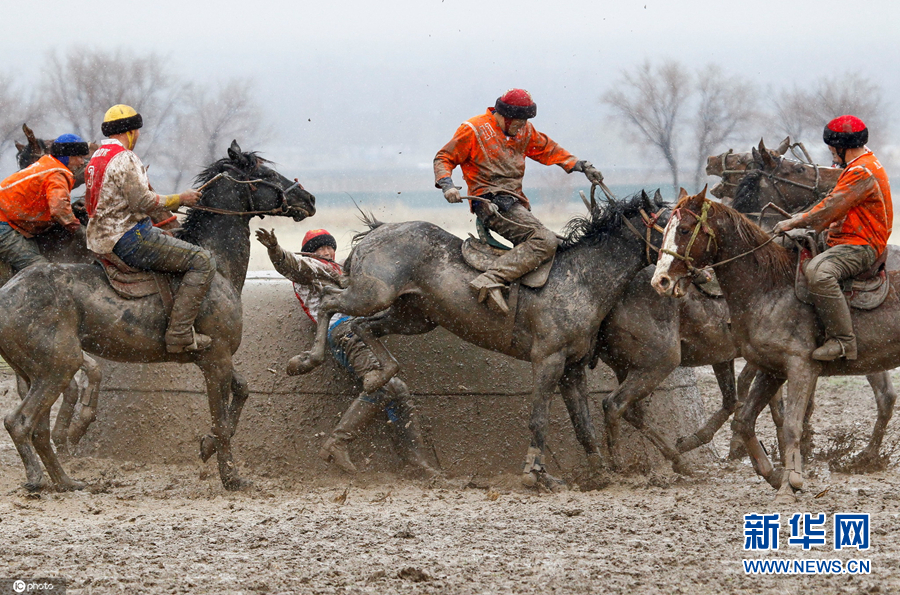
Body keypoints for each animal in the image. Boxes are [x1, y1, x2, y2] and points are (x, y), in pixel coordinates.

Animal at [0, 141, 316, 494]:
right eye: (265, 173)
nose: (310, 200)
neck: (217, 263)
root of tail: (7, 293)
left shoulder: (214, 358)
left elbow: (243, 390)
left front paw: (207, 445)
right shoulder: (216, 359)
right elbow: (221, 420)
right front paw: (231, 476)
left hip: (34, 371)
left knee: (38, 429)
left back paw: (67, 481)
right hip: (57, 367)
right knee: (20, 422)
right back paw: (38, 478)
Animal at [652, 190, 900, 502]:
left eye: (684, 229)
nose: (660, 281)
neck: (769, 287)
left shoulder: (801, 367)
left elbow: (792, 425)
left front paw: (790, 483)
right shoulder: (772, 369)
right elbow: (745, 420)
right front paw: (774, 474)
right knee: (885, 398)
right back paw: (864, 458)